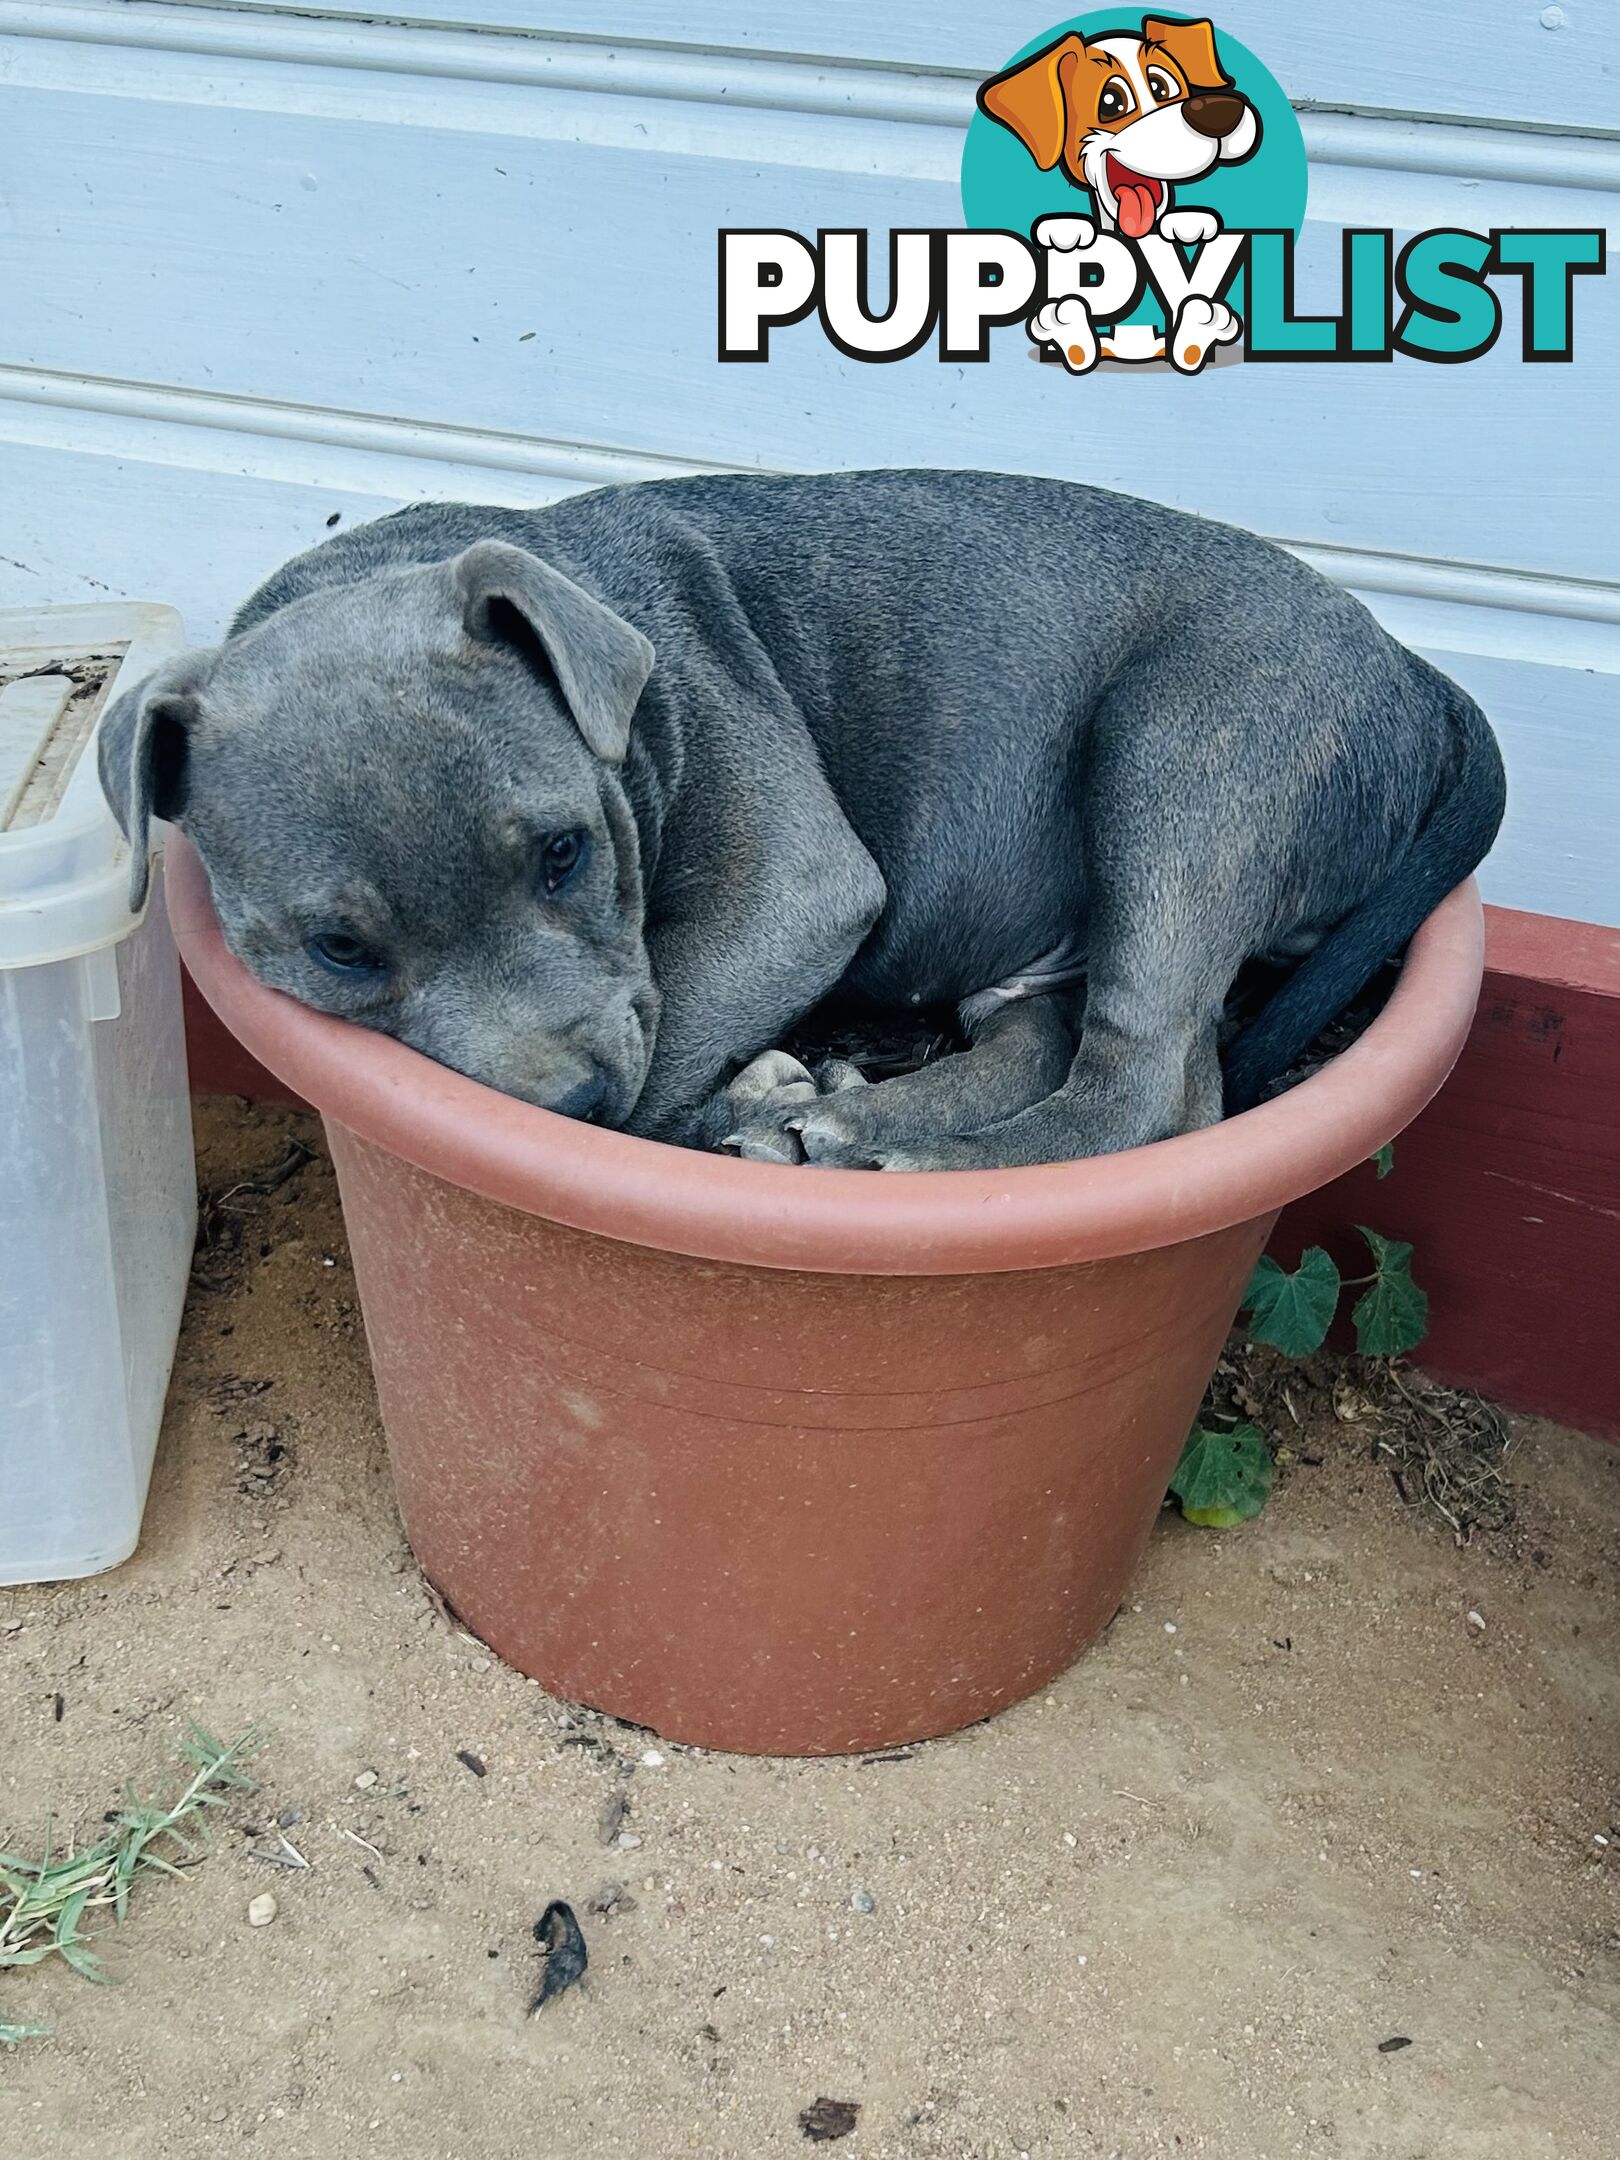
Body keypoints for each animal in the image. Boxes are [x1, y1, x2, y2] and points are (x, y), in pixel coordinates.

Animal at [95, 470, 1503, 1166]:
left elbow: (675, 1029)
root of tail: (1412, 670)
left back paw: (916, 1162)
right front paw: (749, 1103)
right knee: (1052, 1045)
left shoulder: (792, 887)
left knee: (1151, 1085)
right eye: (340, 951)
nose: (567, 1101)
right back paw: (853, 1122)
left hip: (1188, 759)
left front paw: (719, 1107)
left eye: (564, 854)